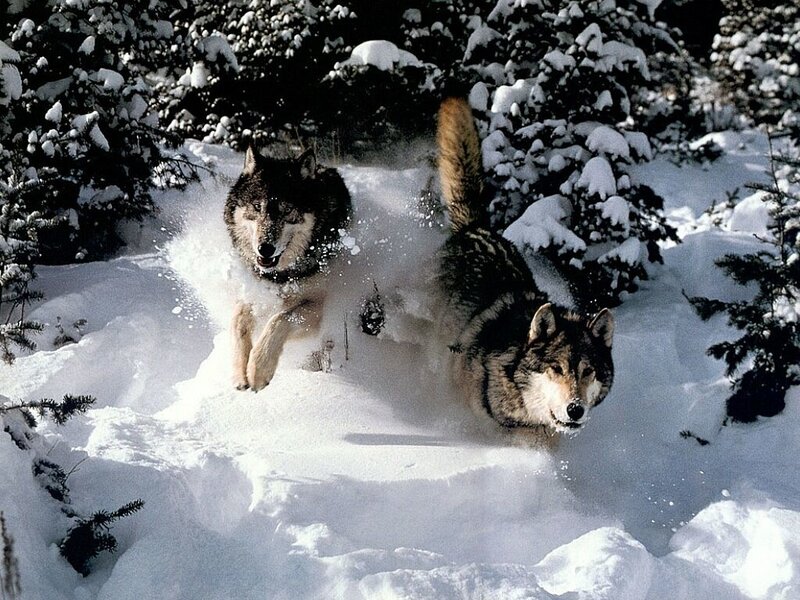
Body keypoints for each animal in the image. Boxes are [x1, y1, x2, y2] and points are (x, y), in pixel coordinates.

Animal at [224, 146, 352, 391]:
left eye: (287, 210)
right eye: (257, 207)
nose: (265, 248)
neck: (279, 276)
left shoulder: (317, 306)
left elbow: (280, 319)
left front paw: (258, 369)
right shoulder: (252, 293)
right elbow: (237, 323)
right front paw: (238, 373)